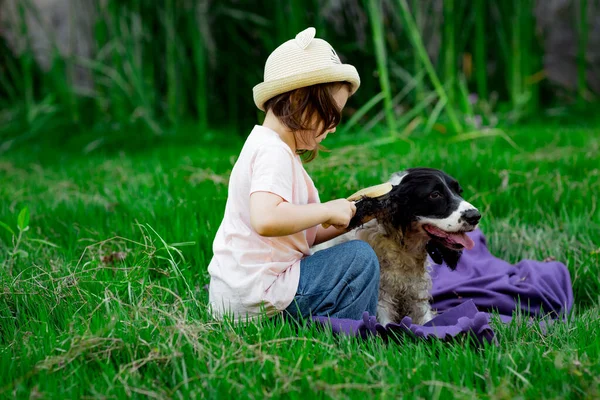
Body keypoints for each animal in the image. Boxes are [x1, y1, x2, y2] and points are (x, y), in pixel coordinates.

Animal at [312, 167, 480, 326]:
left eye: (459, 191)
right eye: (435, 194)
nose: (475, 216)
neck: (402, 247)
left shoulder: (416, 290)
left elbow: (425, 319)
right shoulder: (382, 296)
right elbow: (385, 324)